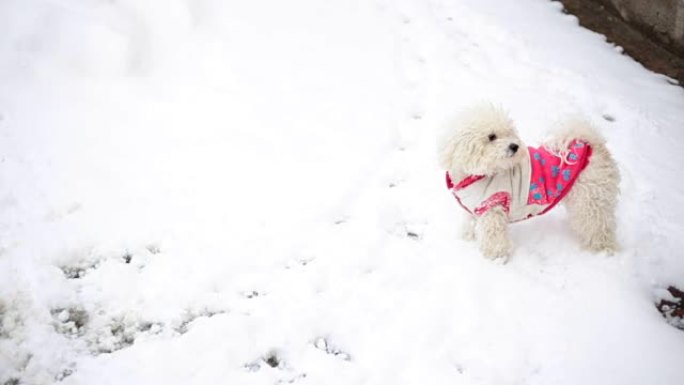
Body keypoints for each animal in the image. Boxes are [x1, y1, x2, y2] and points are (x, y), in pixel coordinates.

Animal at [438, 103, 620, 260]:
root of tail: (592, 145)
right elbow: (469, 223)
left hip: (590, 202)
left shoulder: (494, 206)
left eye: (509, 132)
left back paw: (603, 250)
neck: (477, 175)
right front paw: (466, 237)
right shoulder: (476, 206)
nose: (514, 146)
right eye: (492, 136)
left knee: (598, 226)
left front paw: (496, 258)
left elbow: (494, 237)